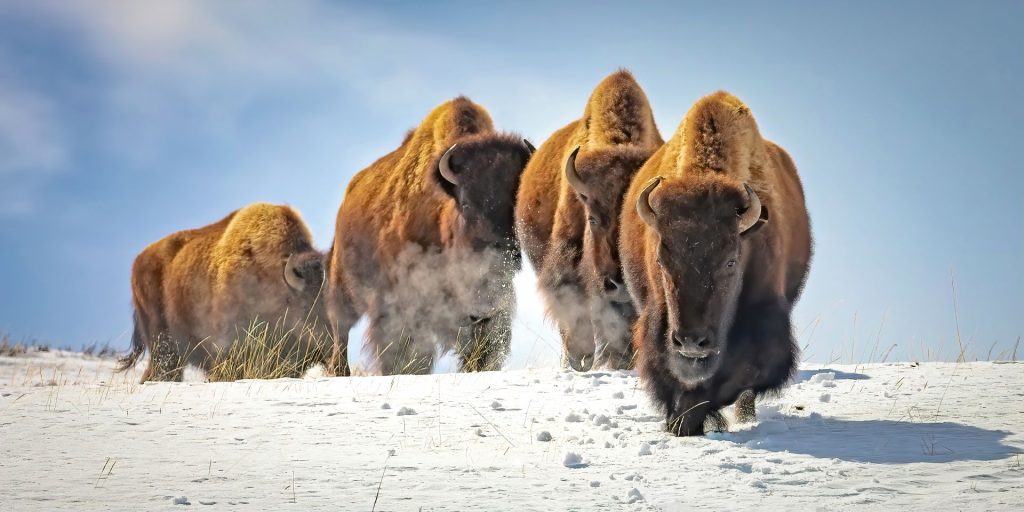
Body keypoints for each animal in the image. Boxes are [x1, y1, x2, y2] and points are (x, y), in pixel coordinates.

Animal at [620, 91, 812, 435]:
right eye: (661, 260)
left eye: (731, 262)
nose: (691, 342)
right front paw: (678, 421)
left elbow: (736, 376)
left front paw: (687, 421)